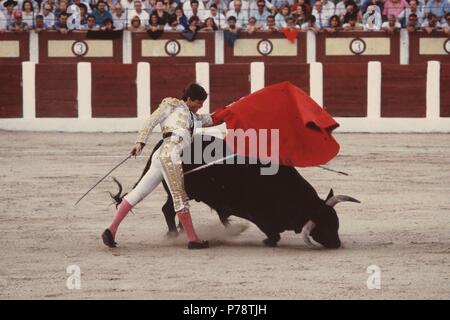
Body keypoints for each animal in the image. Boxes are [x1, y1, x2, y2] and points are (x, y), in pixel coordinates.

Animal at [110, 134, 360, 249]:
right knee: (169, 209)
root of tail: (162, 144)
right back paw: (175, 234)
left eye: (335, 223)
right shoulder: (261, 217)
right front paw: (265, 241)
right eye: (324, 226)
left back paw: (179, 232)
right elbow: (273, 234)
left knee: (170, 209)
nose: (337, 243)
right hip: (177, 188)